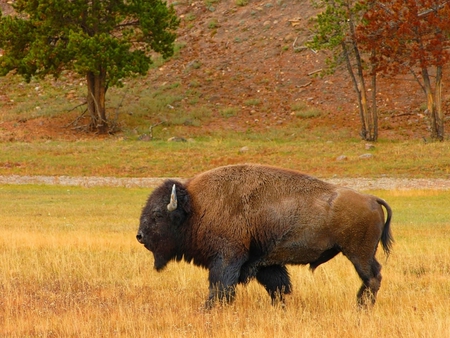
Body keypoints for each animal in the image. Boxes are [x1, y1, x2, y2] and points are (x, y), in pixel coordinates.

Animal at [135, 164, 392, 308]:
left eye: (157, 214)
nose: (140, 236)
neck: (197, 206)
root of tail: (371, 198)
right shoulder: (265, 263)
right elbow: (277, 287)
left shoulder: (227, 258)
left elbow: (220, 287)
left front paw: (208, 309)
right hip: (361, 254)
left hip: (359, 254)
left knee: (372, 277)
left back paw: (361, 306)